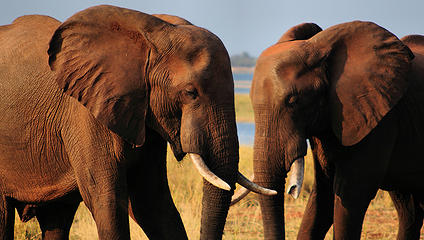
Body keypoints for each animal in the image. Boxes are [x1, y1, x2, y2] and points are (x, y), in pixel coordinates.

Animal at [243, 21, 424, 240]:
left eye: (293, 101)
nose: (291, 190)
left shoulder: (379, 117)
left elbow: (350, 194)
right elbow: (323, 194)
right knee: (409, 210)